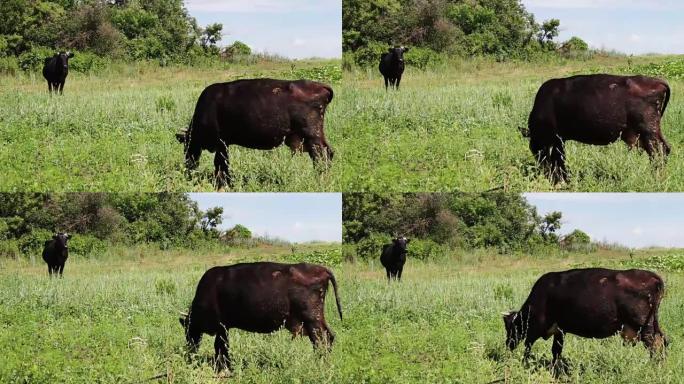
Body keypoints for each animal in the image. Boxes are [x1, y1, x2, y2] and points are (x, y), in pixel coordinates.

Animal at [176, 78, 334, 189]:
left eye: (186, 146)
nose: (187, 167)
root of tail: (320, 86)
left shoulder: (221, 143)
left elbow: (221, 164)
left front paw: (222, 183)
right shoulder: (224, 144)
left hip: (313, 137)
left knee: (321, 157)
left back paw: (321, 179)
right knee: (329, 153)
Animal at [180, 260, 342, 368]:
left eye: (187, 330)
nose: (189, 354)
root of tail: (321, 269)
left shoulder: (221, 327)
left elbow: (220, 347)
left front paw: (223, 367)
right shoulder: (224, 328)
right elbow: (222, 347)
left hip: (312, 320)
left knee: (321, 341)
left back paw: (319, 363)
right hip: (316, 320)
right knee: (329, 337)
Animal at [500, 268, 664, 368]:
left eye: (509, 328)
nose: (507, 345)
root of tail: (652, 276)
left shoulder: (535, 328)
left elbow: (528, 347)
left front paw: (524, 364)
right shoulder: (560, 330)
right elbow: (556, 351)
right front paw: (555, 368)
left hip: (644, 327)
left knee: (655, 345)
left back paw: (654, 366)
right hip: (650, 325)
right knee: (662, 340)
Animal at [520, 74, 672, 184]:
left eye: (534, 148)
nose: (542, 170)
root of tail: (657, 81)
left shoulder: (553, 139)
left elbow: (557, 159)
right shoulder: (559, 140)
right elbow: (560, 160)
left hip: (649, 132)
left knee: (659, 152)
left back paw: (657, 178)